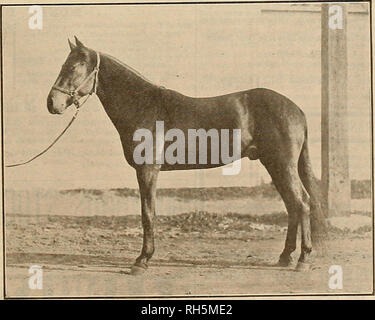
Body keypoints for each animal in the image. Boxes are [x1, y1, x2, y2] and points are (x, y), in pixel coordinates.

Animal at [48, 37, 328, 276]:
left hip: (282, 164)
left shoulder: (148, 170)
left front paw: (142, 261)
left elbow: (147, 213)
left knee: (302, 202)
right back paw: (285, 257)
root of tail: (296, 109)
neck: (143, 105)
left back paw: (303, 259)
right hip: (274, 165)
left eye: (74, 67)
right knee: (292, 205)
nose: (52, 103)